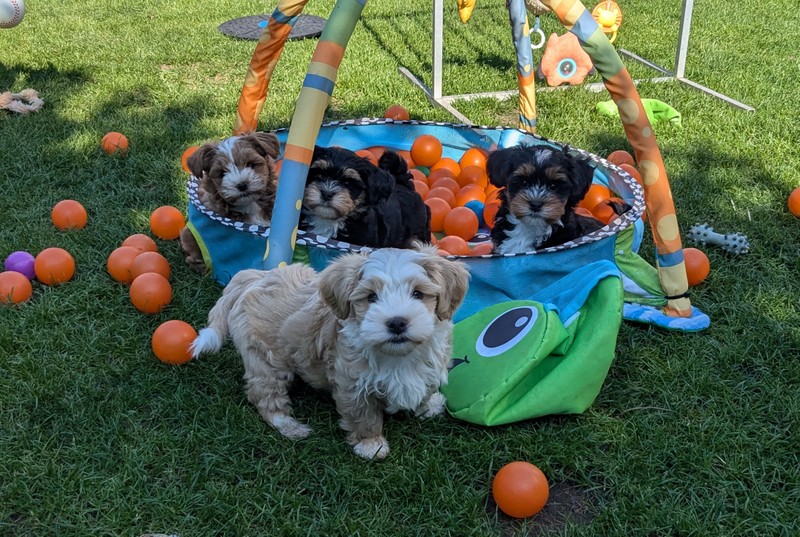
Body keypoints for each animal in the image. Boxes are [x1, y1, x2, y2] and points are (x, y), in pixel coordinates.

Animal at [190, 245, 470, 460]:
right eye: (371, 297)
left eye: (418, 293)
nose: (397, 322)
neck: (397, 356)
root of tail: (255, 277)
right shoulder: (352, 384)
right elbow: (363, 416)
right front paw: (371, 445)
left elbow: (425, 388)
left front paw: (428, 405)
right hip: (265, 360)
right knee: (264, 396)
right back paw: (290, 426)